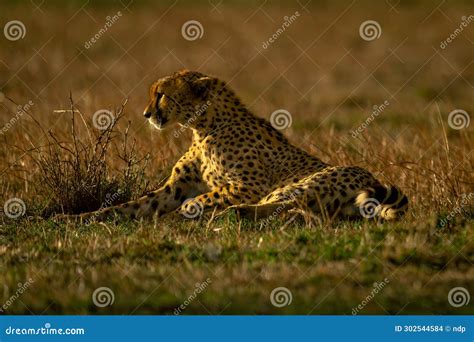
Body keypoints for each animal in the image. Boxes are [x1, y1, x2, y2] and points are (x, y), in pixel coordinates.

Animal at [58, 70, 408, 222]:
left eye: (161, 95)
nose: (146, 114)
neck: (202, 126)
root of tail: (370, 177)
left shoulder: (249, 185)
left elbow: (204, 197)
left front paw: (187, 213)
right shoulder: (173, 188)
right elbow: (128, 206)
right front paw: (71, 219)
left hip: (299, 184)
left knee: (291, 205)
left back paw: (234, 214)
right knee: (310, 214)